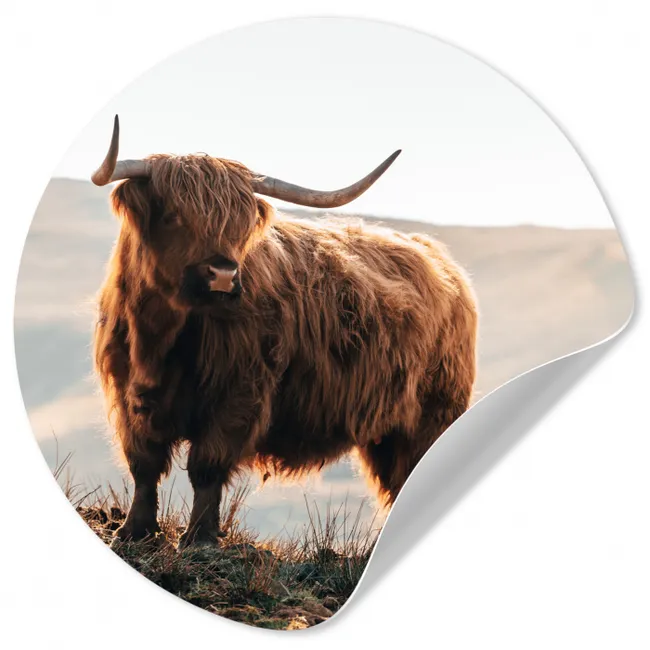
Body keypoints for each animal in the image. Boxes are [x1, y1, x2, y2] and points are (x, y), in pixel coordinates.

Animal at [91, 115, 478, 547]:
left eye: (240, 225)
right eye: (175, 215)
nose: (223, 274)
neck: (160, 339)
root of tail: (437, 258)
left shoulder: (239, 394)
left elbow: (206, 466)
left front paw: (199, 537)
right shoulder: (128, 393)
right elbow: (143, 463)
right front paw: (133, 530)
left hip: (432, 415)